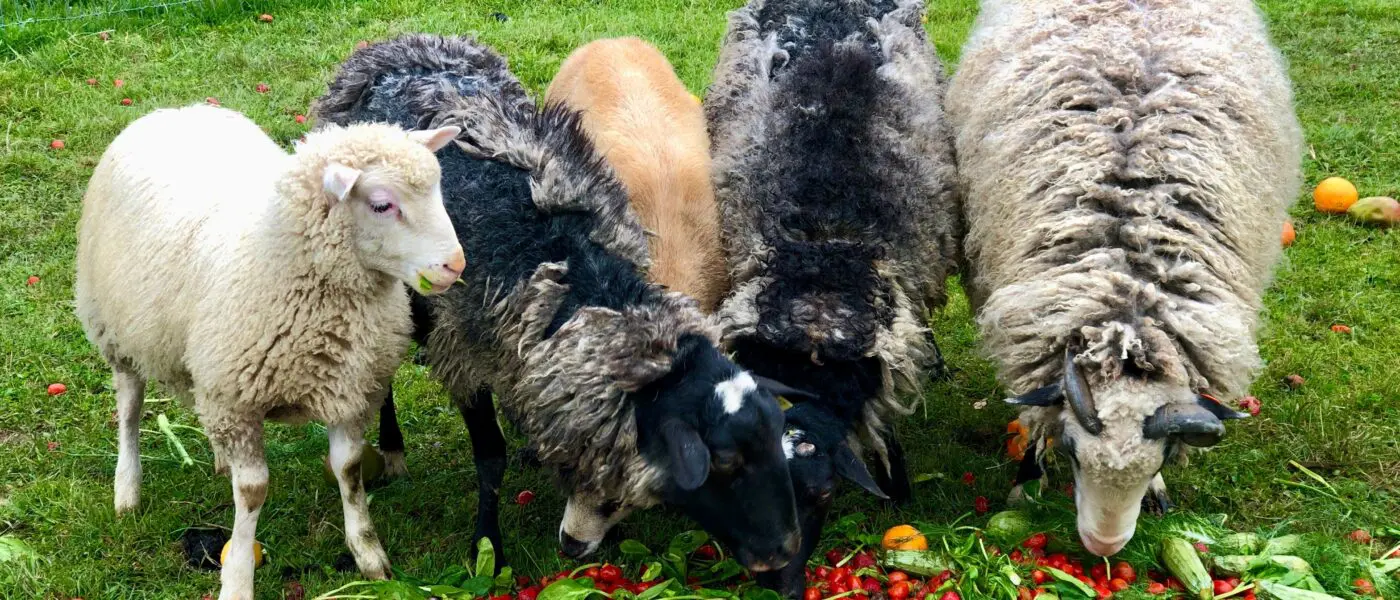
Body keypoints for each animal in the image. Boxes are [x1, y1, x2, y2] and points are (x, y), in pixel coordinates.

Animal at [74, 104, 464, 600]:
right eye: (381, 204)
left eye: (437, 189)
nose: (456, 264)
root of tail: (175, 110)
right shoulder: (238, 401)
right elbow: (253, 492)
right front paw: (238, 578)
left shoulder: (349, 390)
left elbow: (350, 469)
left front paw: (369, 555)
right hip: (114, 327)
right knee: (128, 409)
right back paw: (127, 490)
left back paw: (219, 461)